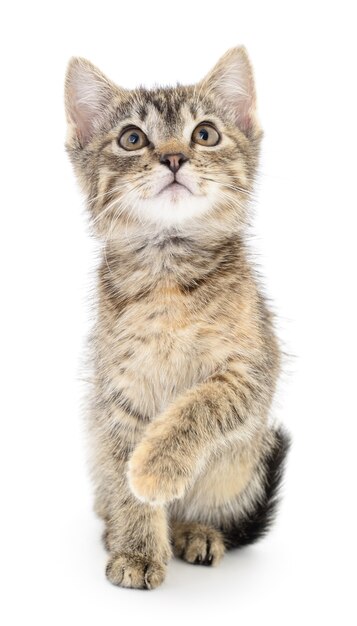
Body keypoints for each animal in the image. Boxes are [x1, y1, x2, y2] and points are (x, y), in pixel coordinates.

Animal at [64, 46, 290, 588]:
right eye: (132, 138)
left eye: (204, 133)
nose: (173, 157)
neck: (169, 275)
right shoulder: (119, 391)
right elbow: (126, 480)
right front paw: (137, 550)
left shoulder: (253, 369)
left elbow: (199, 406)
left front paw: (157, 468)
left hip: (239, 470)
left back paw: (195, 532)